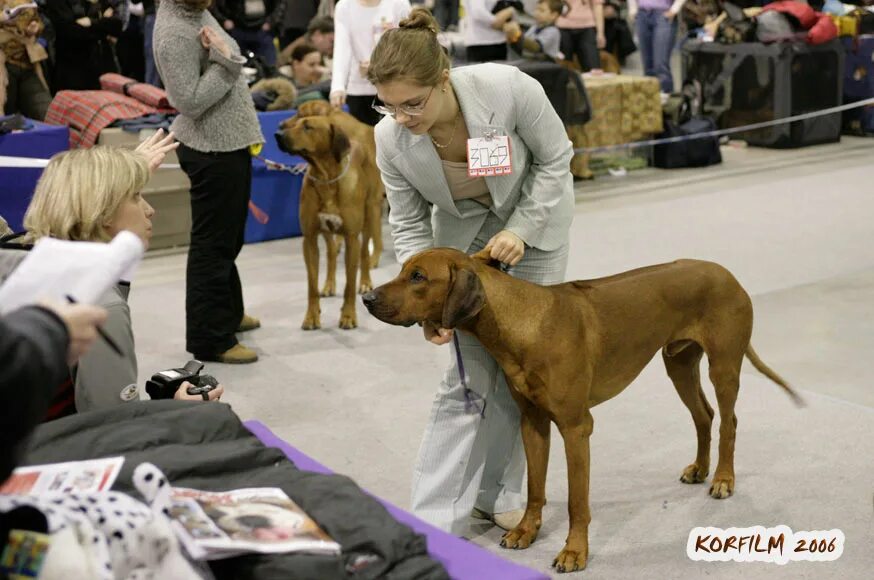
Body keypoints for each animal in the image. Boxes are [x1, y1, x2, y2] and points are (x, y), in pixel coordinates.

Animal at [274, 106, 380, 328]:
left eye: (307, 126)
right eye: (296, 121)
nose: (277, 134)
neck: (326, 178)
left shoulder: (351, 238)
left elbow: (349, 283)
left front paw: (348, 316)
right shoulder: (310, 238)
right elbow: (311, 285)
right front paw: (311, 316)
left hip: (371, 212)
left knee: (365, 253)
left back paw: (365, 282)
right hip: (327, 230)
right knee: (331, 252)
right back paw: (329, 284)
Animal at [360, 249, 796, 572]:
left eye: (418, 277)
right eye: (403, 270)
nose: (366, 298)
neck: (522, 322)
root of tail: (725, 272)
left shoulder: (575, 426)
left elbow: (576, 502)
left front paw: (574, 552)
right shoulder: (533, 422)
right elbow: (536, 488)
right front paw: (526, 531)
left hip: (724, 365)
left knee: (729, 421)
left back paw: (723, 478)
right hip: (678, 363)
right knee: (703, 415)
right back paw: (701, 468)